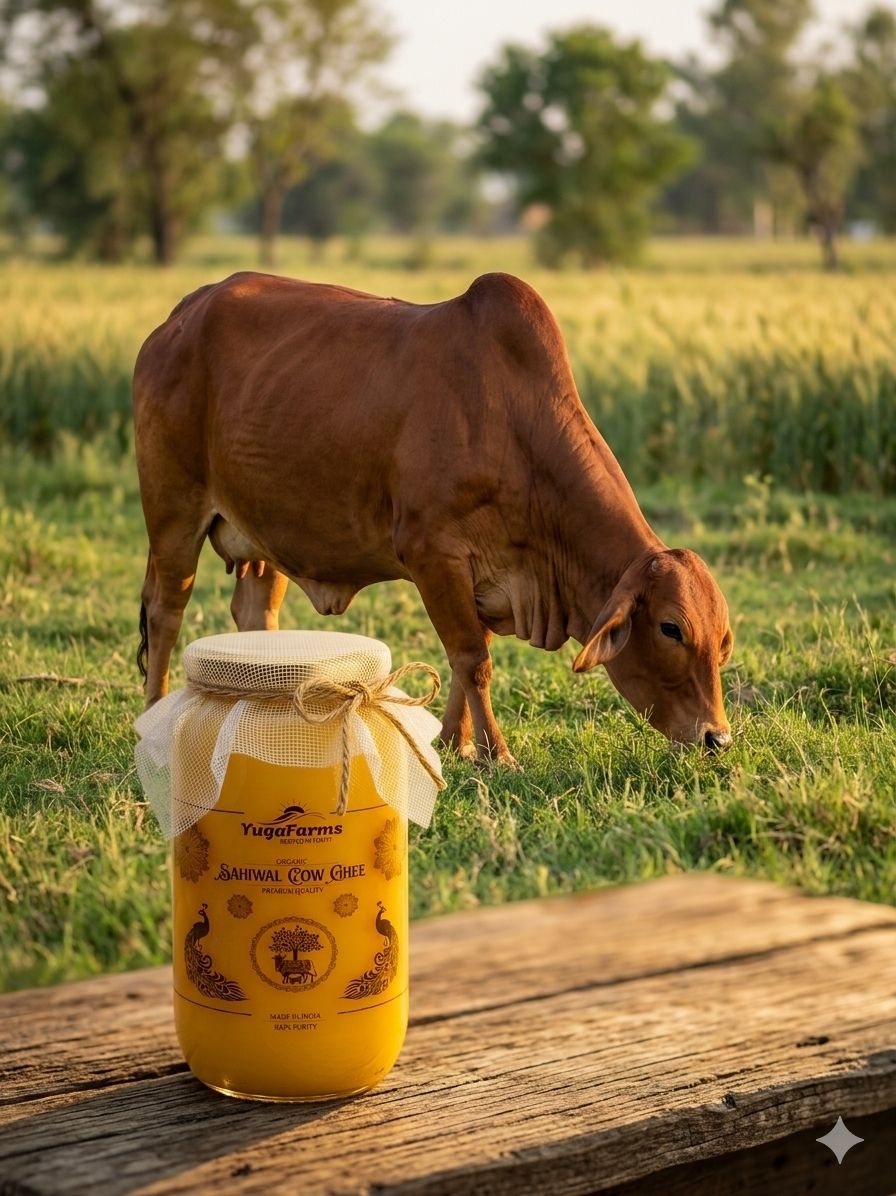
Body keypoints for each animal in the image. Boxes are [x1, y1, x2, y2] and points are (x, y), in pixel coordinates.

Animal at [134, 270, 733, 764]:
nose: (717, 738)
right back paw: (155, 717)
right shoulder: (433, 555)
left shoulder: (480, 576)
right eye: (671, 628)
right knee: (166, 612)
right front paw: (498, 755)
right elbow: (472, 659)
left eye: (722, 640)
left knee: (256, 617)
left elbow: (467, 661)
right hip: (173, 512)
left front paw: (455, 743)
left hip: (264, 533)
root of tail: (180, 315)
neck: (514, 426)